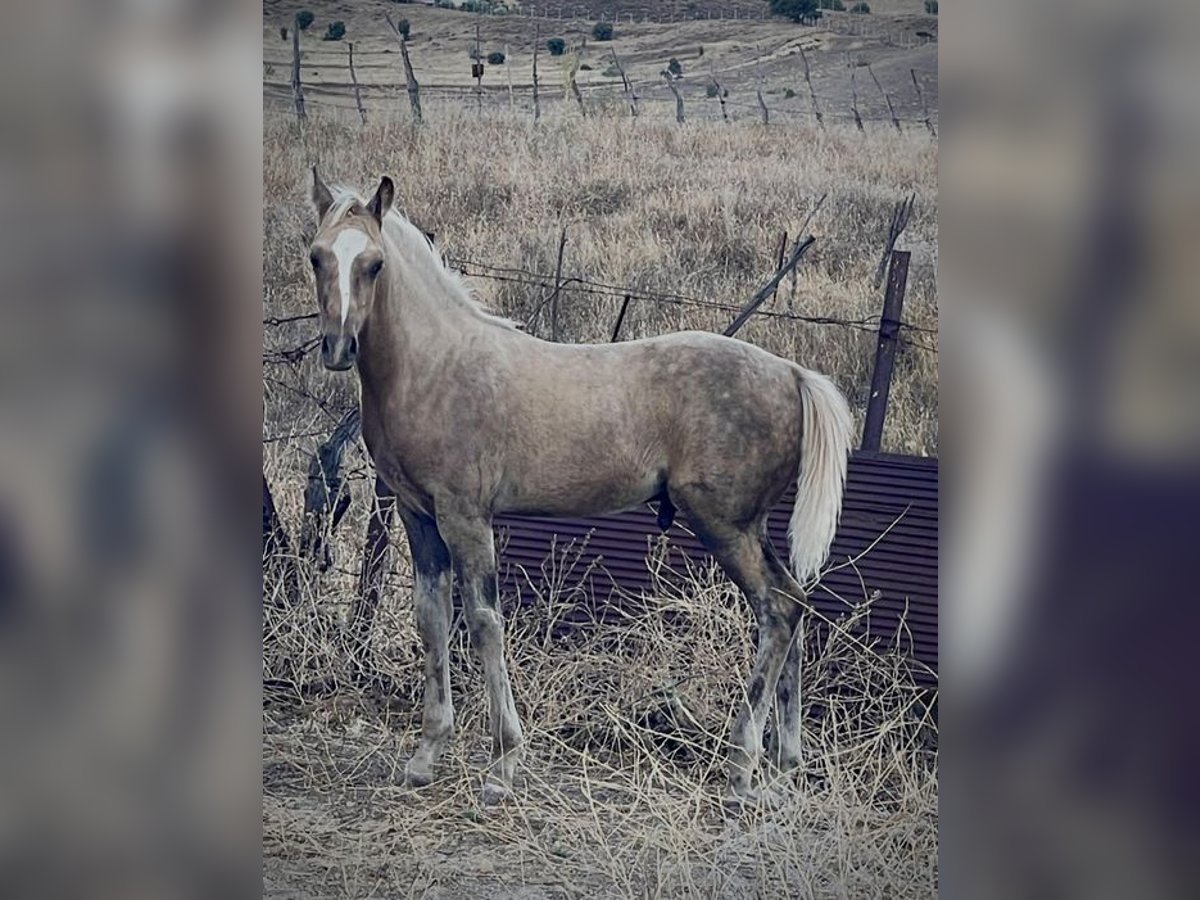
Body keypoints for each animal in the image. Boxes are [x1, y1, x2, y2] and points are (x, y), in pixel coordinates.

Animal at [304, 170, 859, 811]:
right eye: (317, 255)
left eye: (374, 264)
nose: (338, 349)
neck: (435, 367)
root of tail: (793, 374)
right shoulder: (418, 516)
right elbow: (431, 620)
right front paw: (425, 756)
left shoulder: (466, 517)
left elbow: (484, 622)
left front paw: (502, 766)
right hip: (750, 527)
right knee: (795, 603)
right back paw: (785, 767)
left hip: (724, 526)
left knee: (777, 609)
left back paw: (742, 767)